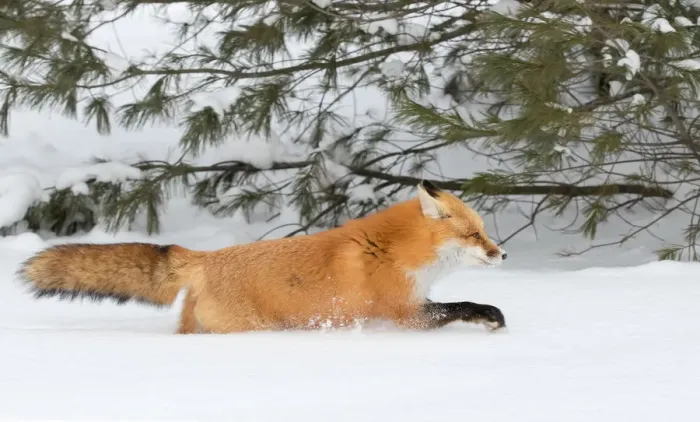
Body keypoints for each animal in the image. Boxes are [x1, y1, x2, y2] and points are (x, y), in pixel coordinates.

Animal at [16, 180, 508, 334]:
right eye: (474, 234)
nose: (503, 253)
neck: (391, 251)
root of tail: (203, 257)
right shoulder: (404, 313)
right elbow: (462, 306)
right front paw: (490, 316)